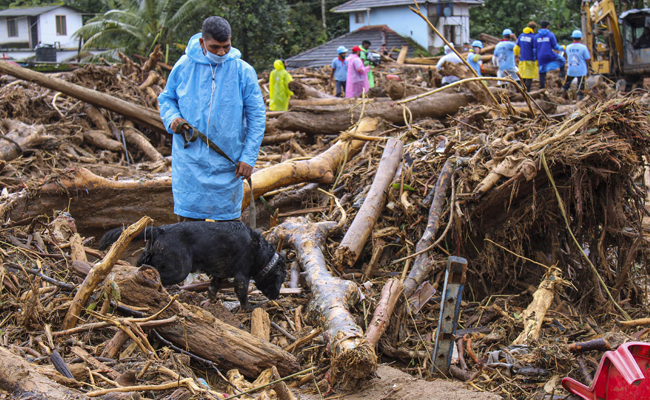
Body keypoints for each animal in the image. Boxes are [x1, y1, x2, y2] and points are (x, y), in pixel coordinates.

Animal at [97, 220, 284, 308]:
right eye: (279, 281)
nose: (276, 297)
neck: (260, 253)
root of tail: (159, 230)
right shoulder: (241, 278)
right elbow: (243, 296)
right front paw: (249, 309)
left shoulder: (219, 274)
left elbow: (212, 289)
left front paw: (210, 303)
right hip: (180, 269)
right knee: (156, 276)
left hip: (148, 256)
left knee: (140, 266)